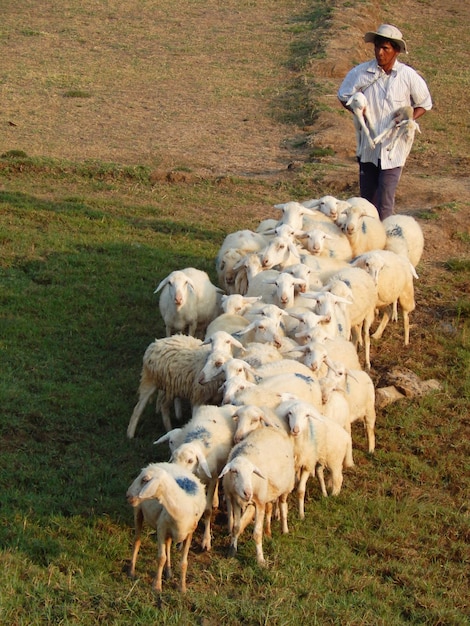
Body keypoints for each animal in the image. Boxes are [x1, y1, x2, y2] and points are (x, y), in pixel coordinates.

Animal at [126, 460, 206, 592]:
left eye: (144, 480)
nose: (128, 495)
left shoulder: (189, 533)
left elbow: (184, 563)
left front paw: (182, 588)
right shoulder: (161, 528)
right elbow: (161, 558)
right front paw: (157, 586)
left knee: (168, 543)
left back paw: (168, 572)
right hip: (138, 510)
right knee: (137, 541)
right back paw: (131, 571)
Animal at [219, 424, 294, 564]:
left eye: (252, 472)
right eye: (234, 471)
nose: (248, 493)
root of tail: (271, 428)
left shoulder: (259, 503)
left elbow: (257, 534)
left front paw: (260, 560)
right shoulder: (236, 501)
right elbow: (236, 527)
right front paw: (232, 551)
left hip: (286, 486)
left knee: (282, 505)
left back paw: (284, 529)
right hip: (268, 492)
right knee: (269, 508)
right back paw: (268, 532)